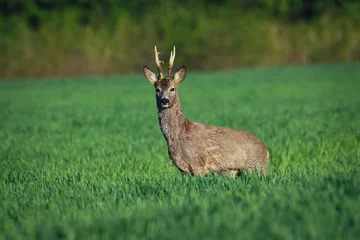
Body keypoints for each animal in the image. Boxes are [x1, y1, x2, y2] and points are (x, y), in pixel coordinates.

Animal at [142, 46, 268, 177]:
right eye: (157, 89)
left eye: (172, 88)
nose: (164, 100)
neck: (177, 135)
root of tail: (266, 150)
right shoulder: (183, 170)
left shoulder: (198, 163)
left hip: (256, 167)